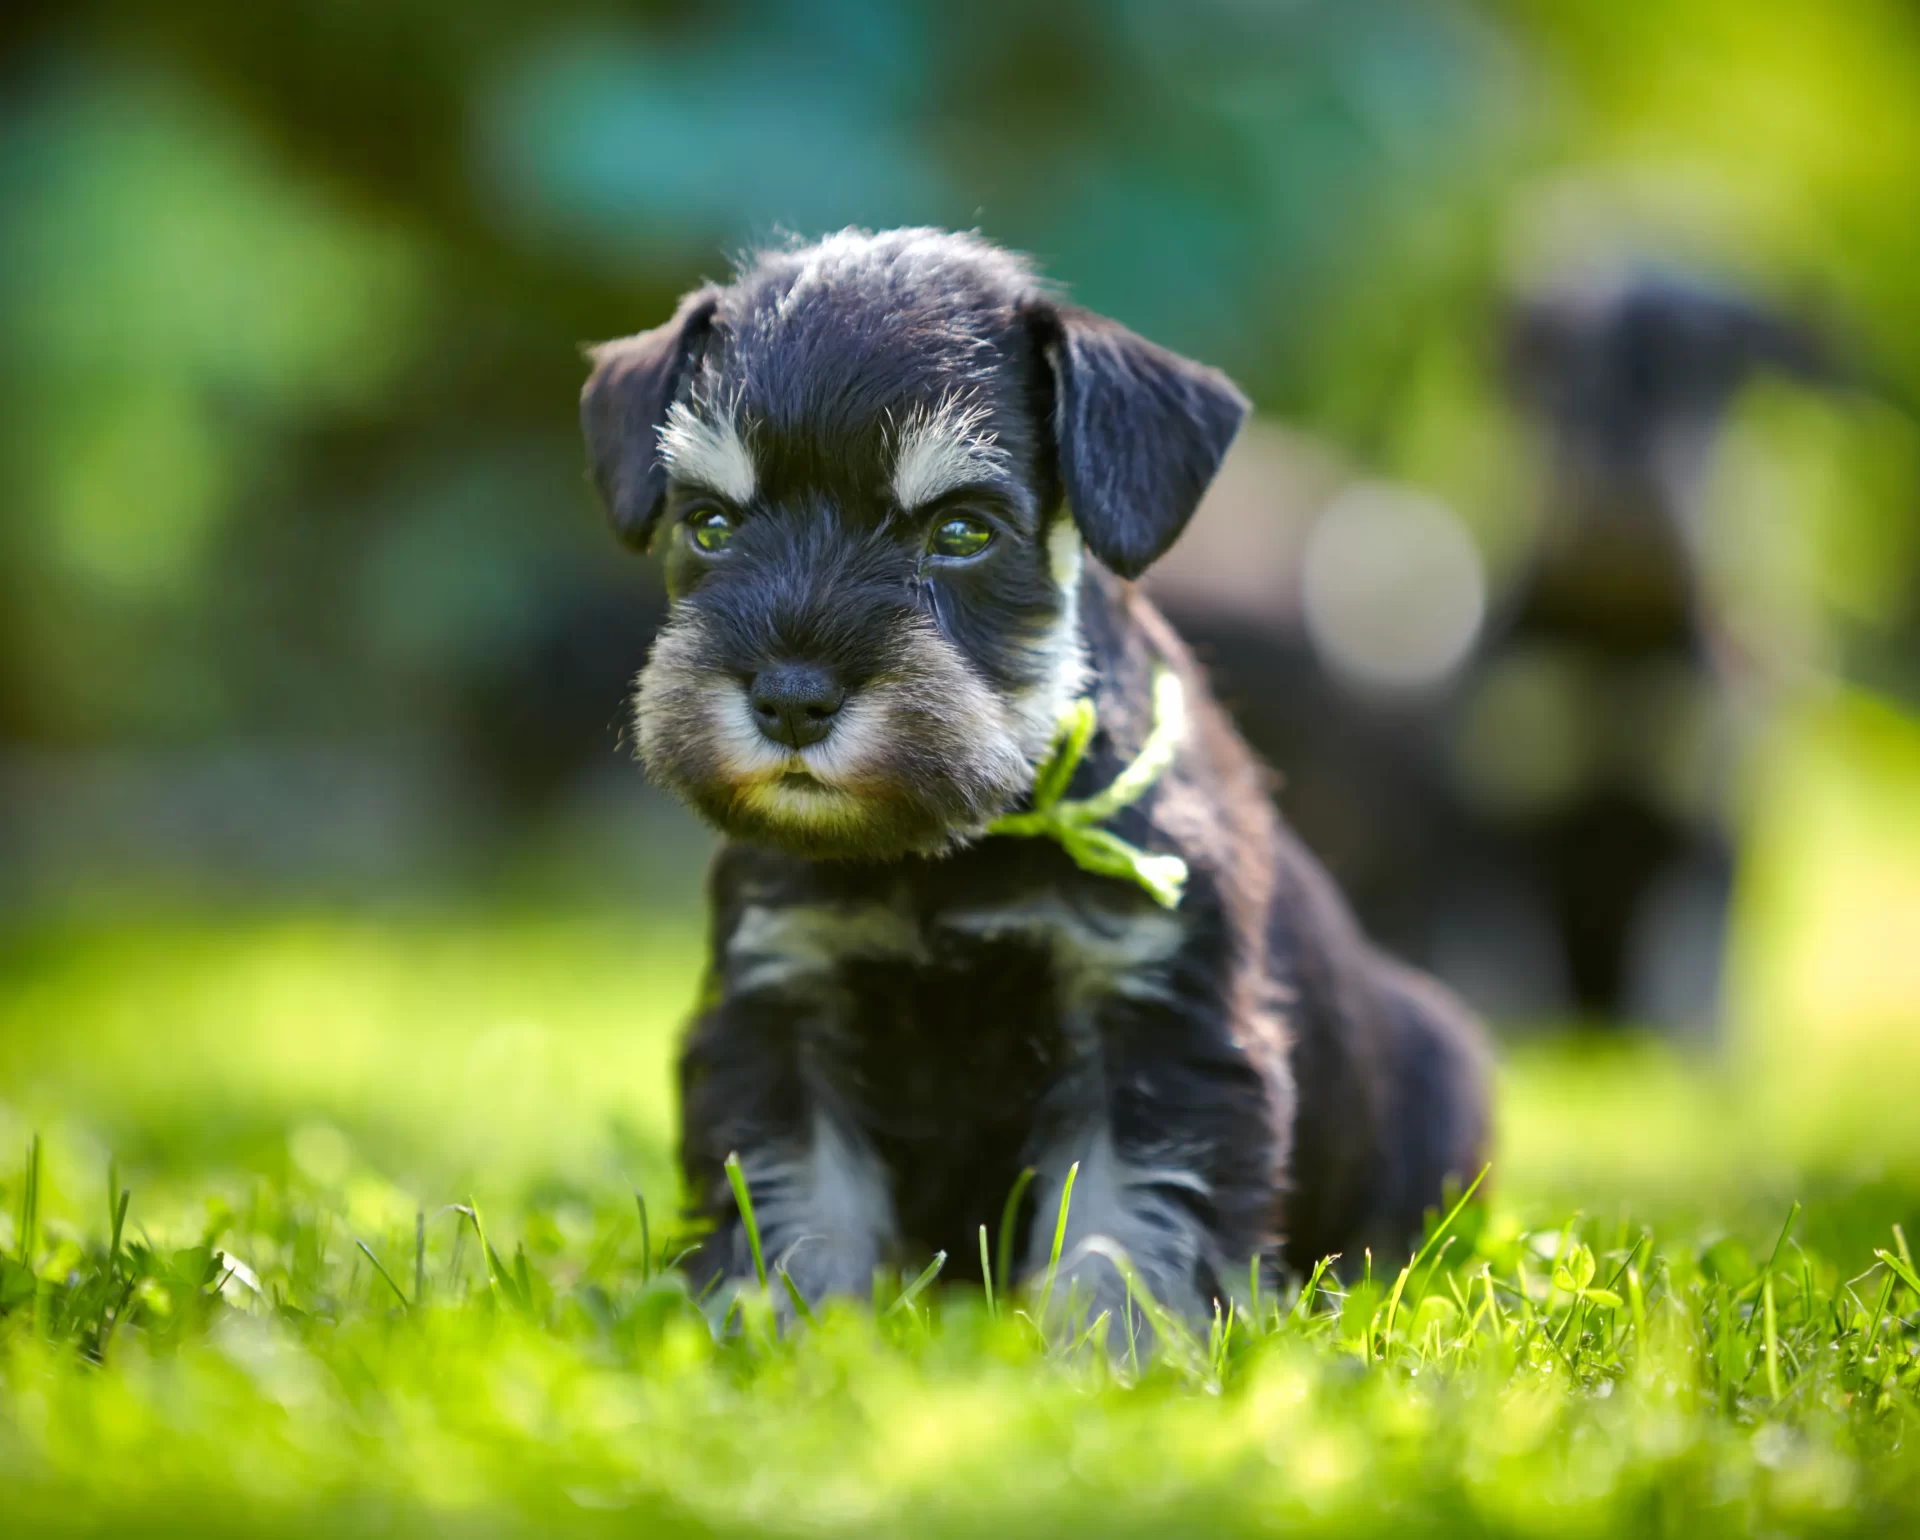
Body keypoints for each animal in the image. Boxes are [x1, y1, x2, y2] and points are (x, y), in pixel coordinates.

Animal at [576, 231, 1489, 1328]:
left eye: (964, 531)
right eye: (709, 523)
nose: (791, 698)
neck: (948, 849)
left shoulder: (1155, 1020)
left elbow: (1124, 1211)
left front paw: (1118, 1343)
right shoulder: (782, 1002)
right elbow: (798, 1195)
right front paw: (776, 1328)